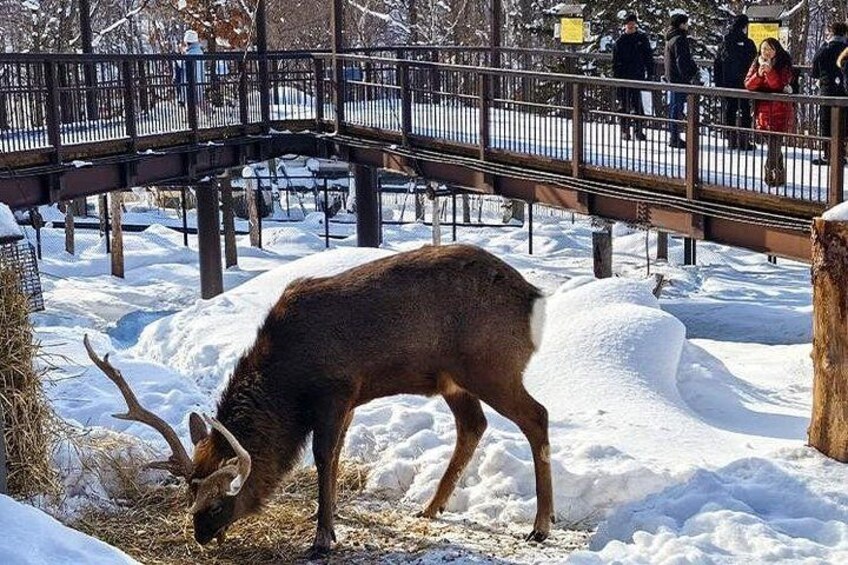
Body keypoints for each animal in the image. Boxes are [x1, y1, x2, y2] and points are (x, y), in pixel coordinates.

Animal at [83, 244, 552, 555]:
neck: (288, 378)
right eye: (188, 492)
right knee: (473, 424)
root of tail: (534, 299)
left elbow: (325, 456)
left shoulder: (336, 389)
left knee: (537, 415)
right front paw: (325, 518)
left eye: (218, 500)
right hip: (452, 380)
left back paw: (540, 525)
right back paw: (430, 508)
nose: (200, 534)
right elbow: (338, 454)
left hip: (491, 366)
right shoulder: (350, 399)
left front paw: (323, 538)